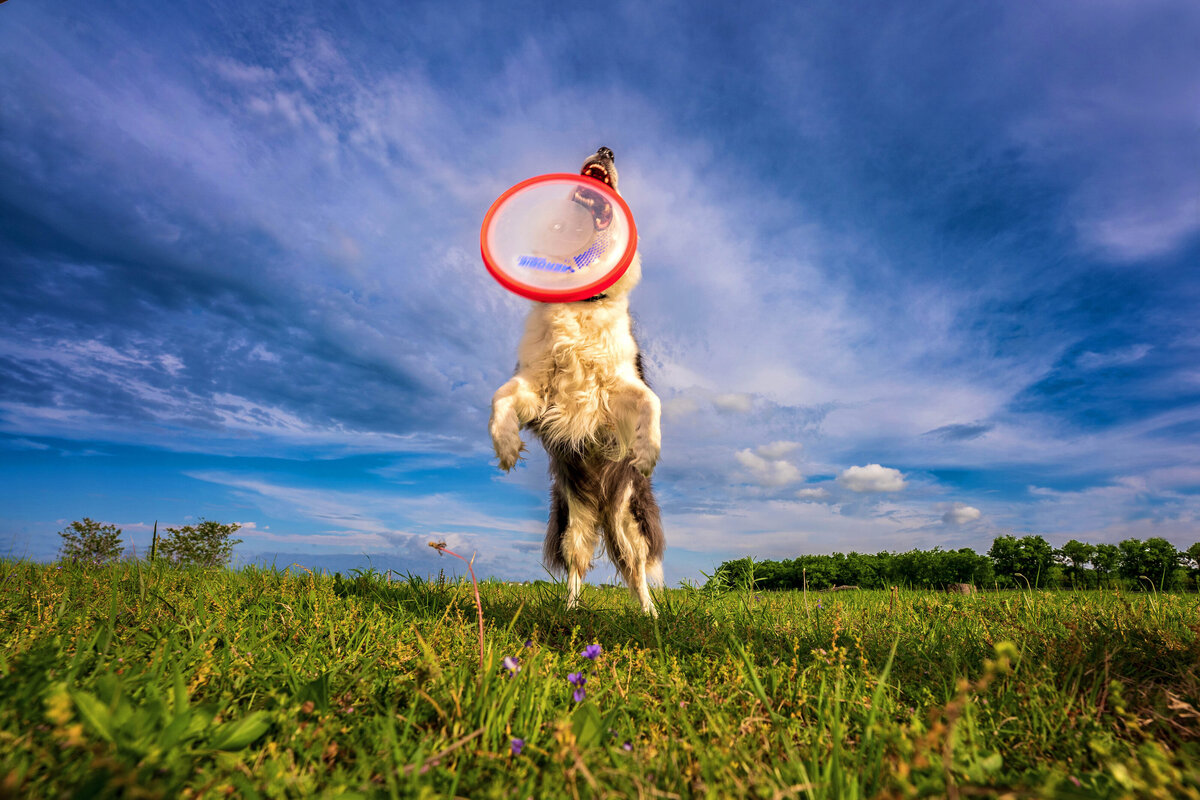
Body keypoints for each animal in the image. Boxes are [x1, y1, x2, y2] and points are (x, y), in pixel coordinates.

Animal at [487, 146, 667, 618]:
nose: (606, 149)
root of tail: (602, 507)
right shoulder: (536, 385)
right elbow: (500, 397)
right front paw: (506, 446)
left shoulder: (619, 386)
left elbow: (652, 402)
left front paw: (646, 450)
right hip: (572, 519)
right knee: (576, 566)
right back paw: (569, 610)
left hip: (629, 519)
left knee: (637, 570)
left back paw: (652, 616)